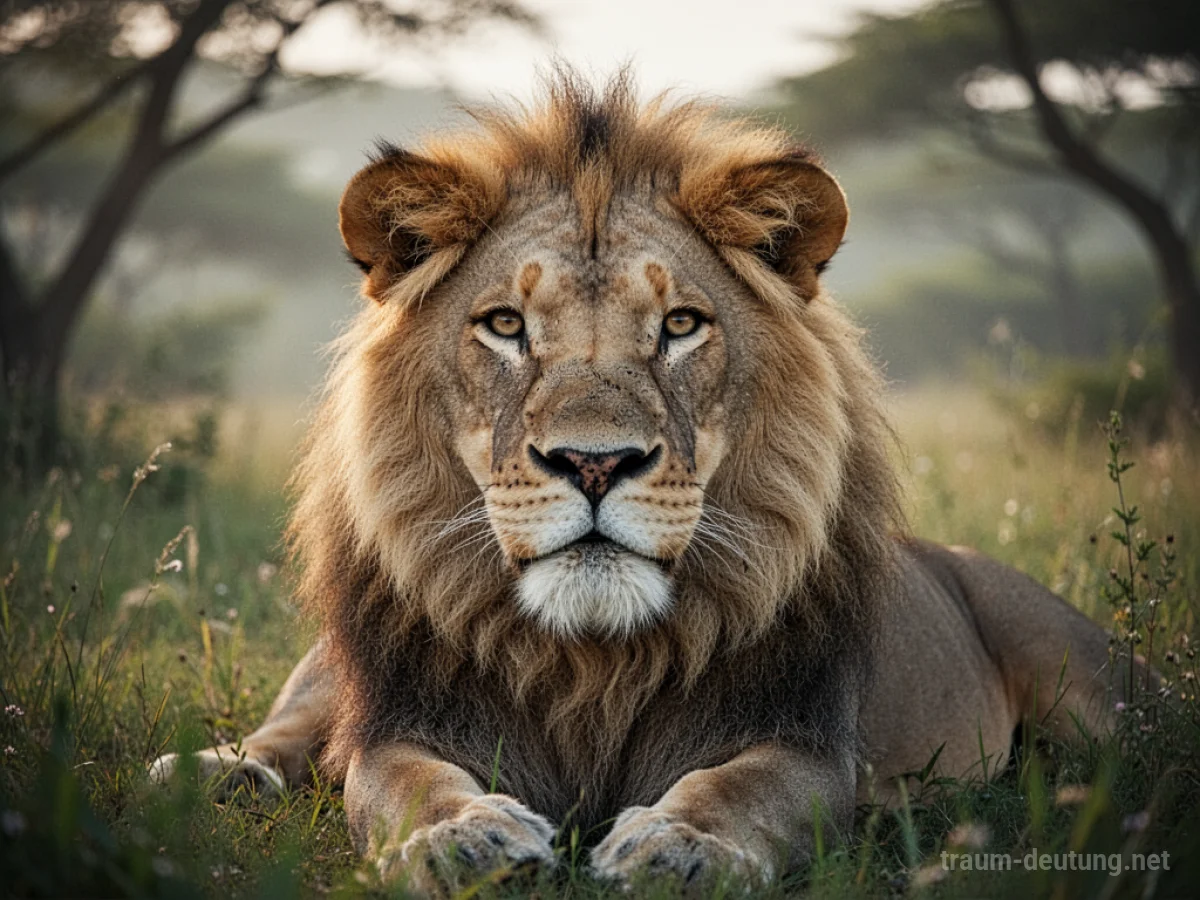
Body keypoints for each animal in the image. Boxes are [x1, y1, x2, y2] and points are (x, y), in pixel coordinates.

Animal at [151, 72, 1124, 893]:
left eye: (681, 325)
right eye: (506, 325)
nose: (595, 463)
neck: (592, 662)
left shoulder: (805, 744)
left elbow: (738, 792)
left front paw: (677, 848)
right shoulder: (400, 722)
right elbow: (401, 785)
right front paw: (466, 840)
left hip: (1084, 678)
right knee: (290, 731)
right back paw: (210, 774)